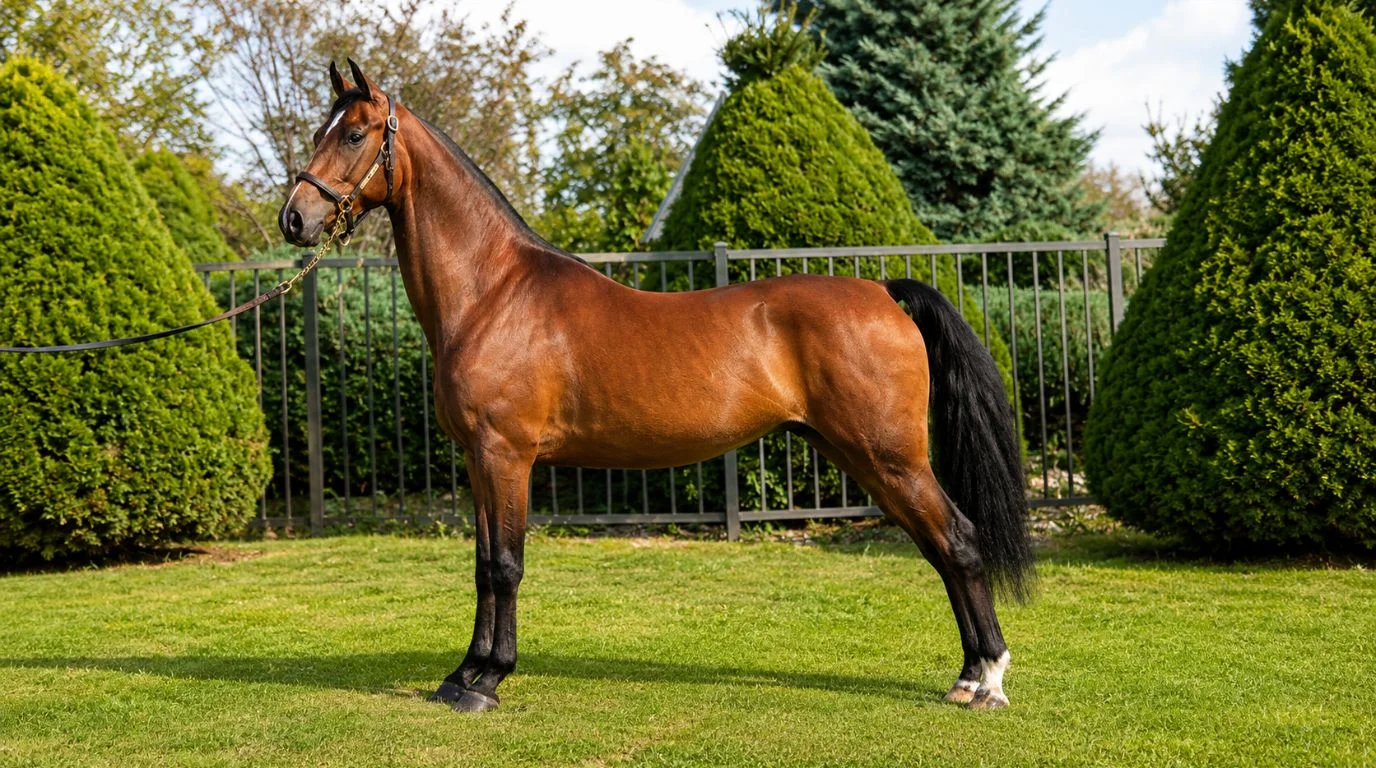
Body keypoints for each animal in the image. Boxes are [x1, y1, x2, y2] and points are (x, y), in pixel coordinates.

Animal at [278, 60, 1034, 713]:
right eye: (320, 132)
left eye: (353, 134)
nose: (294, 218)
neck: (492, 293)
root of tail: (882, 291)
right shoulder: (478, 459)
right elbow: (482, 564)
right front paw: (463, 674)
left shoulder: (507, 456)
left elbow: (505, 564)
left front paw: (487, 681)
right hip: (865, 456)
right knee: (938, 548)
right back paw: (970, 674)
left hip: (890, 456)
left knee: (959, 541)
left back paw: (989, 680)